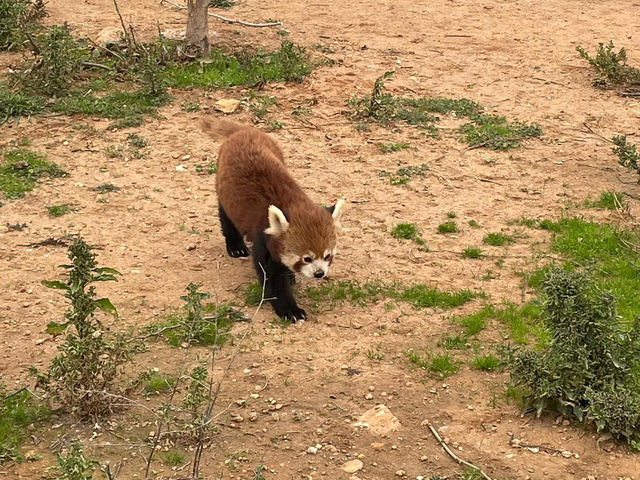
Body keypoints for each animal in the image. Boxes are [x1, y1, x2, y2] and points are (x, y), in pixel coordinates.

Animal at [204, 119, 344, 322]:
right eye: (307, 258)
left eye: (327, 255)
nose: (319, 273)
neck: (292, 204)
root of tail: (245, 130)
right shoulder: (263, 237)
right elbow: (272, 279)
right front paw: (290, 310)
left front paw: (291, 276)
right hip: (224, 188)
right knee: (226, 215)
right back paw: (235, 246)